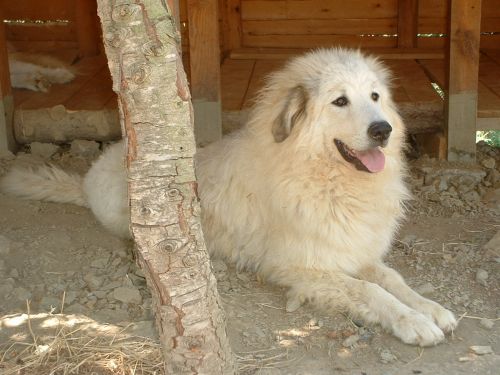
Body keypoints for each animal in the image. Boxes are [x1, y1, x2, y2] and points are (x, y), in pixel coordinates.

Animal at [1, 49, 458, 346]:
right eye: (340, 100)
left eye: (376, 97)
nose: (384, 130)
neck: (320, 174)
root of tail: (90, 177)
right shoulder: (301, 267)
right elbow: (370, 292)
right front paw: (413, 322)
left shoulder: (354, 250)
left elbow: (393, 280)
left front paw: (430, 308)